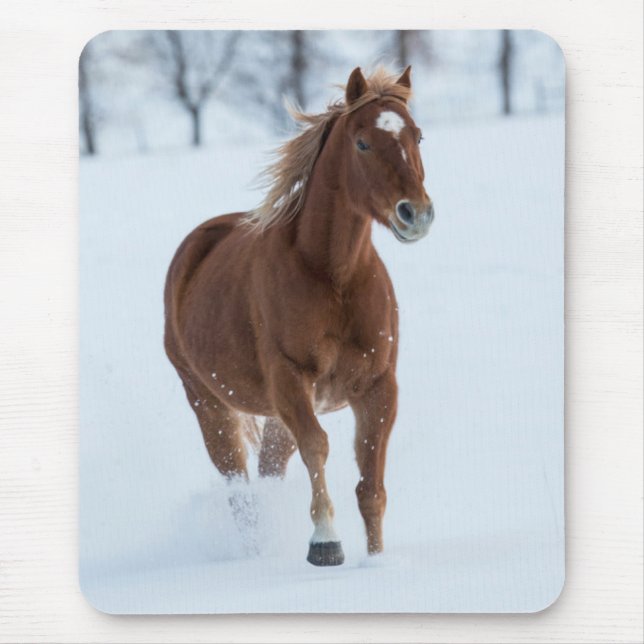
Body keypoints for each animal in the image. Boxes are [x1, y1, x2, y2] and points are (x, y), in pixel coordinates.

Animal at [164, 65, 434, 566]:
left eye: (417, 136)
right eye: (362, 143)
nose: (416, 214)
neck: (333, 275)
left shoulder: (378, 386)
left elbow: (371, 484)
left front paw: (377, 561)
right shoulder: (291, 379)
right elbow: (318, 447)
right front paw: (325, 543)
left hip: (273, 415)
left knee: (269, 469)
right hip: (209, 404)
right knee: (239, 486)